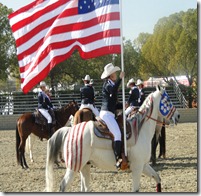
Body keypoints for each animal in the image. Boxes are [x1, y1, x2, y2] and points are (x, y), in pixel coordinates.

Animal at [45, 86, 179, 192]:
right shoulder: (137, 167)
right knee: (63, 185)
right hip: (73, 167)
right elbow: (136, 189)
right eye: (167, 100)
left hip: (84, 166)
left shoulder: (144, 165)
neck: (140, 130)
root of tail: (69, 130)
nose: (178, 116)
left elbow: (157, 178)